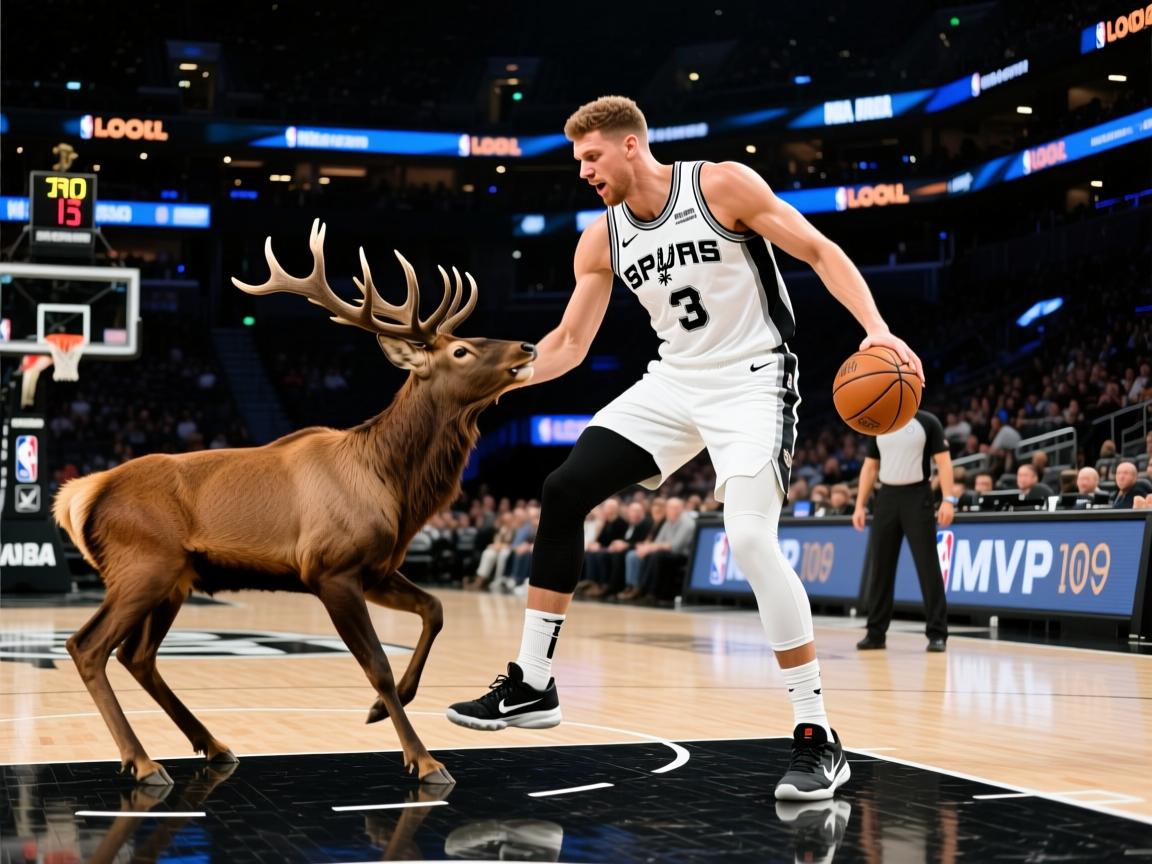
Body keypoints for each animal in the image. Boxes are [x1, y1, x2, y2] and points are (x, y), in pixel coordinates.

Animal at [52, 219, 537, 788]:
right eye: (460, 351)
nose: (528, 346)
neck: (392, 485)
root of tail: (81, 496)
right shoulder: (330, 567)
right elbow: (377, 664)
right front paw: (423, 758)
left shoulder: (376, 568)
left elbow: (434, 609)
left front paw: (383, 709)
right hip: (143, 564)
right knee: (88, 646)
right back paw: (145, 762)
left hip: (175, 578)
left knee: (138, 655)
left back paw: (213, 745)